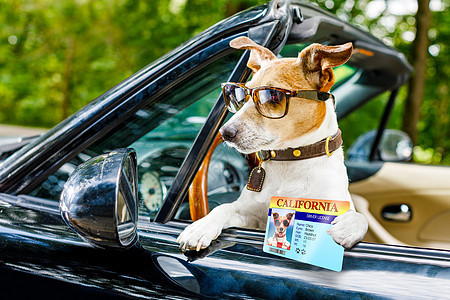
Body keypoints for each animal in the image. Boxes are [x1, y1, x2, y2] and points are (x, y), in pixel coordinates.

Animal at [178, 36, 368, 252]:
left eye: (273, 96)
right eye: (240, 95)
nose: (224, 133)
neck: (291, 160)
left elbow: (359, 218)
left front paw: (349, 225)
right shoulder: (249, 215)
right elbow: (223, 207)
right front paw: (200, 227)